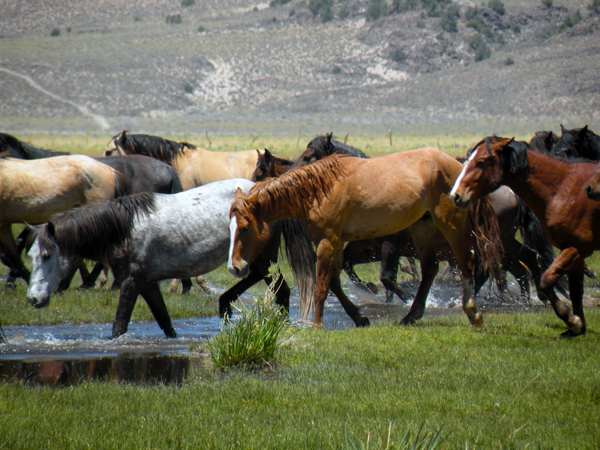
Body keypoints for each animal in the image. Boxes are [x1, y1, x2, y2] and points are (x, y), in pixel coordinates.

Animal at [23, 179, 314, 338]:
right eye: (31, 255)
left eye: (47, 255)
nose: (33, 299)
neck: (123, 230)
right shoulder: (148, 283)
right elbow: (165, 321)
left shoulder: (131, 282)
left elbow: (119, 325)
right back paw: (226, 303)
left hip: (261, 259)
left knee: (280, 290)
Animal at [227, 151, 504, 326]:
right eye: (230, 227)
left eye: (245, 228)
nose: (235, 267)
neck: (318, 190)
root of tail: (459, 168)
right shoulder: (336, 243)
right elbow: (334, 282)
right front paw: (359, 318)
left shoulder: (328, 241)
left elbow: (321, 285)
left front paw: (317, 324)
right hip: (422, 228)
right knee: (430, 268)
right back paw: (411, 316)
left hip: (450, 222)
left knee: (466, 264)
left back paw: (473, 314)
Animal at [450, 136, 600, 338]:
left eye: (480, 161)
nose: (456, 195)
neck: (564, 188)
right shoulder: (573, 249)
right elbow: (575, 291)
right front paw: (577, 326)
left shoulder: (577, 248)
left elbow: (547, 281)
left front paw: (570, 319)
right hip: (503, 241)